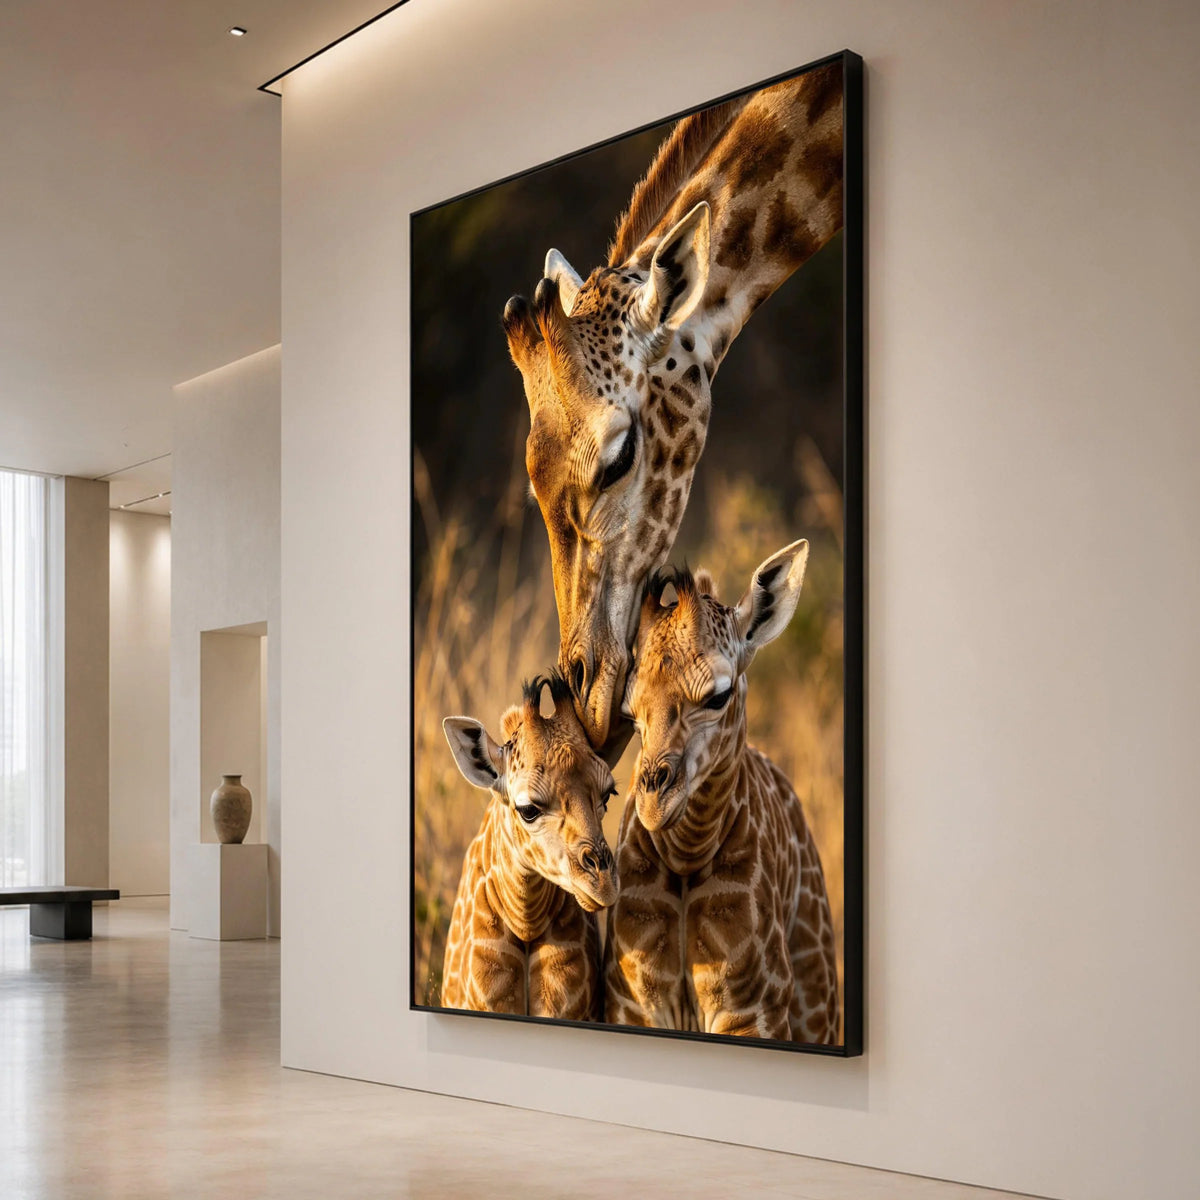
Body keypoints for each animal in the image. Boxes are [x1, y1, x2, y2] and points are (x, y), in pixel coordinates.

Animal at [604, 541, 840, 1043]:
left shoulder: (753, 1012)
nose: (655, 802)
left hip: (817, 1001)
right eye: (629, 712)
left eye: (718, 696)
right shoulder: (632, 1004)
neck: (687, 859)